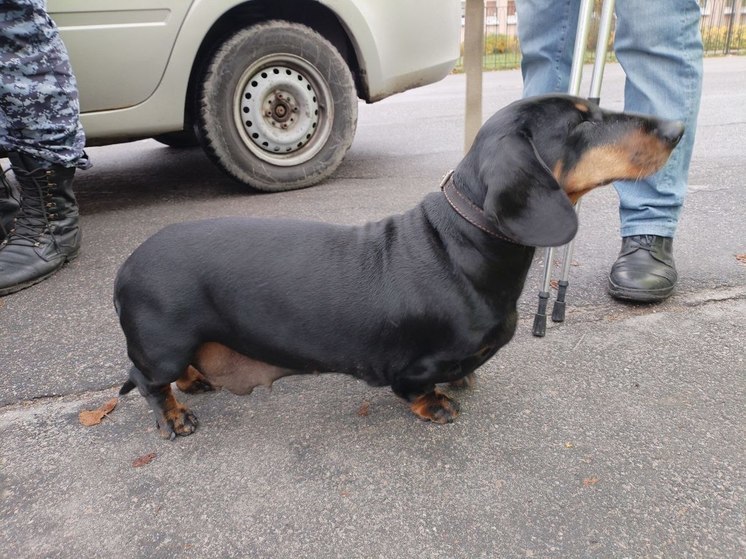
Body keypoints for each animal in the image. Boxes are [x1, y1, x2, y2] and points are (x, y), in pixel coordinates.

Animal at [115, 95, 680, 438]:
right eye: (581, 121)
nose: (677, 125)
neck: (462, 244)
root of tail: (126, 269)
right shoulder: (412, 368)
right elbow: (416, 390)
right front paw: (438, 404)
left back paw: (195, 383)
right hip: (164, 347)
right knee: (145, 379)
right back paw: (175, 416)